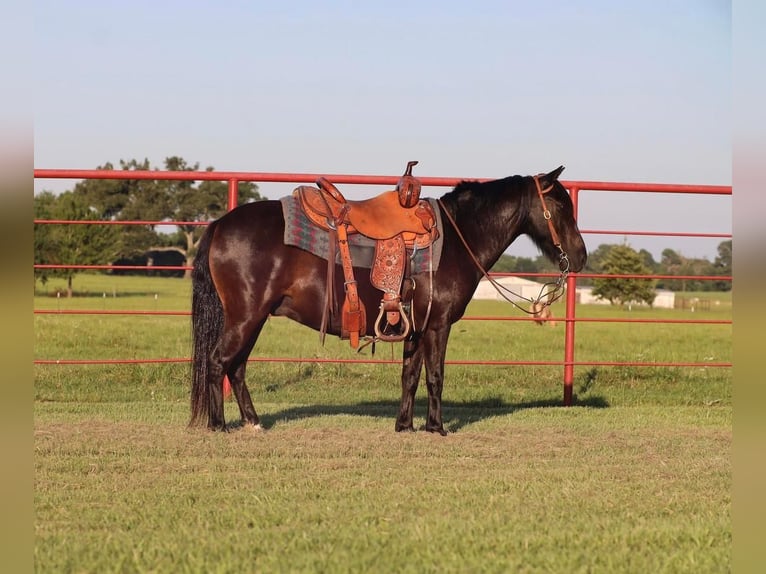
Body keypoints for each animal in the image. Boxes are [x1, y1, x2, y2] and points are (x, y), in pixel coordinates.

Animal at [190, 166, 588, 436]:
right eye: (560, 206)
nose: (581, 257)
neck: (459, 237)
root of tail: (220, 224)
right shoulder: (438, 325)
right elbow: (435, 376)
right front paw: (436, 428)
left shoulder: (415, 327)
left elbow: (409, 376)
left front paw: (405, 426)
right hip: (246, 315)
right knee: (218, 362)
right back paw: (218, 425)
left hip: (253, 317)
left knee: (237, 367)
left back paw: (253, 422)